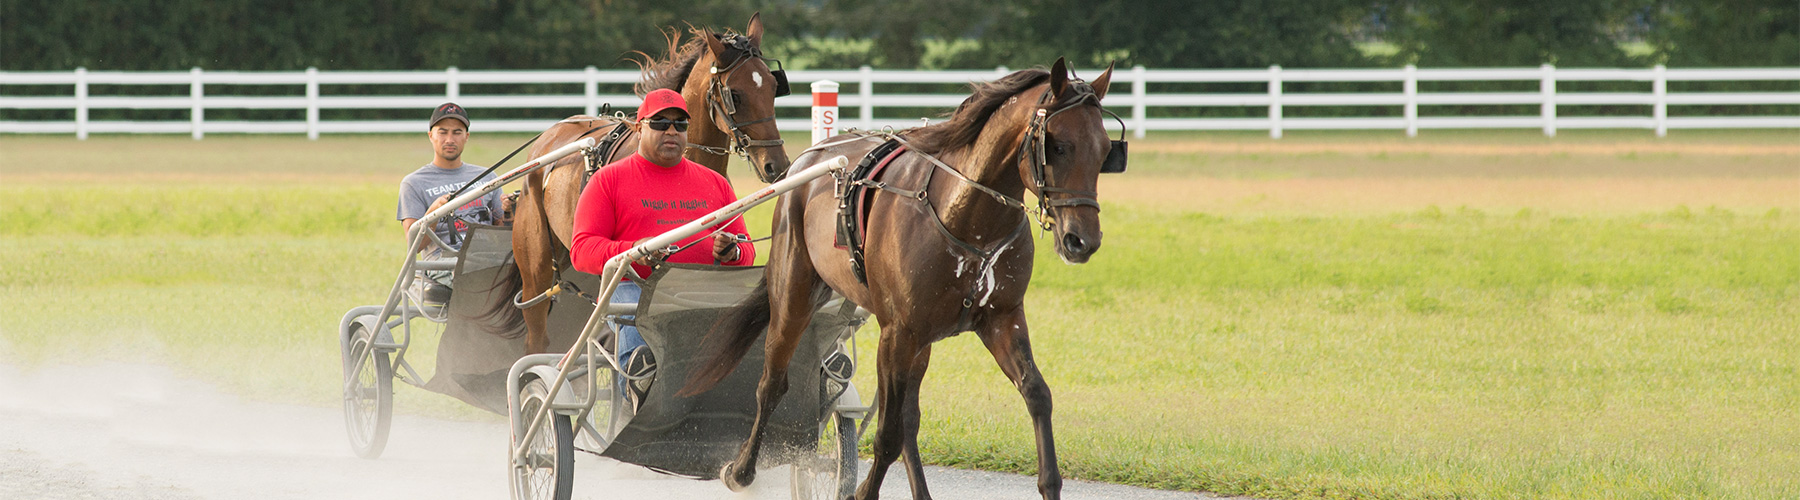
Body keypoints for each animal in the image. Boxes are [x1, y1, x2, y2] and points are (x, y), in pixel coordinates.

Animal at [504, 12, 792, 356]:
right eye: (734, 94)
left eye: (774, 87)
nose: (777, 164)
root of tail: (549, 138)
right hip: (536, 266)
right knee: (537, 332)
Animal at [680, 59, 1116, 500]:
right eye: (1058, 145)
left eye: (1105, 150)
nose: (1083, 240)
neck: (968, 217)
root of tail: (808, 160)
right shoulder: (898, 332)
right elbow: (887, 433)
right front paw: (860, 491)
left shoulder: (1000, 319)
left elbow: (1036, 394)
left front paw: (1050, 481)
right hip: (795, 292)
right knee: (773, 380)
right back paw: (741, 470)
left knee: (909, 416)